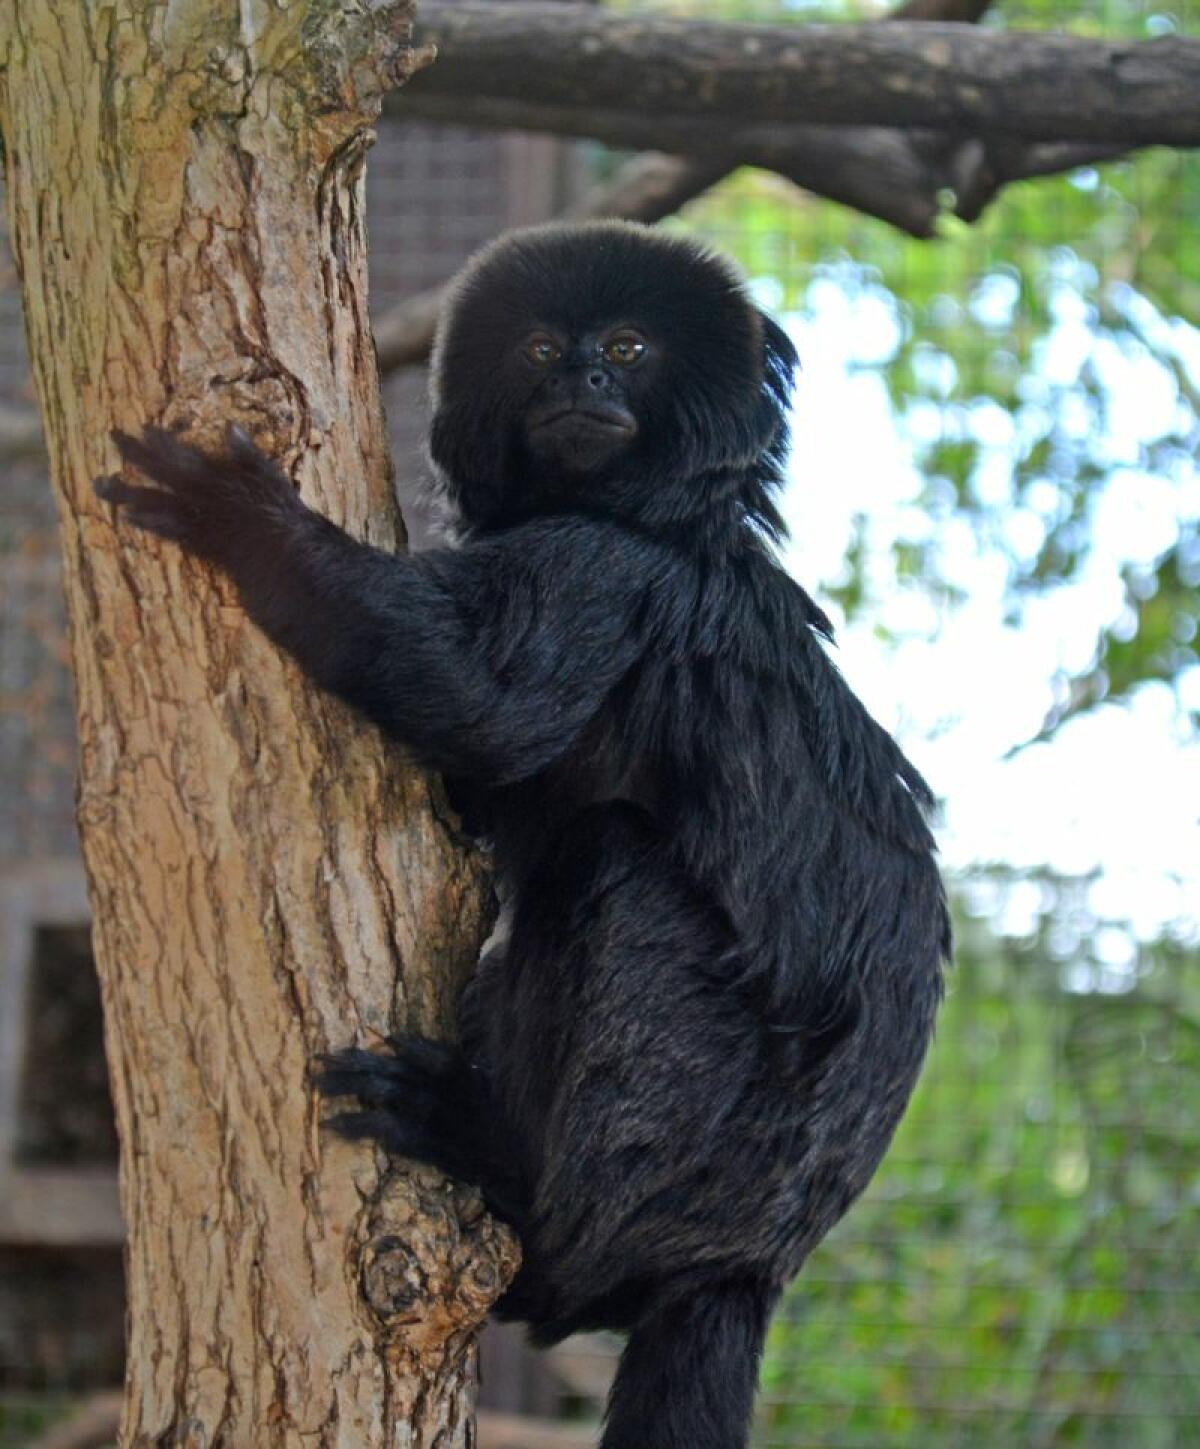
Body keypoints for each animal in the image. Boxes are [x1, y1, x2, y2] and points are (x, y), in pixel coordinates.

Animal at [96, 220, 944, 1443]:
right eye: (543, 348)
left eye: (629, 348)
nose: (584, 378)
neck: (653, 517)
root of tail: (750, 1261)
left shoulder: (612, 575)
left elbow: (471, 693)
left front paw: (247, 524)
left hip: (702, 1153)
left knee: (610, 866)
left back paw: (495, 1166)